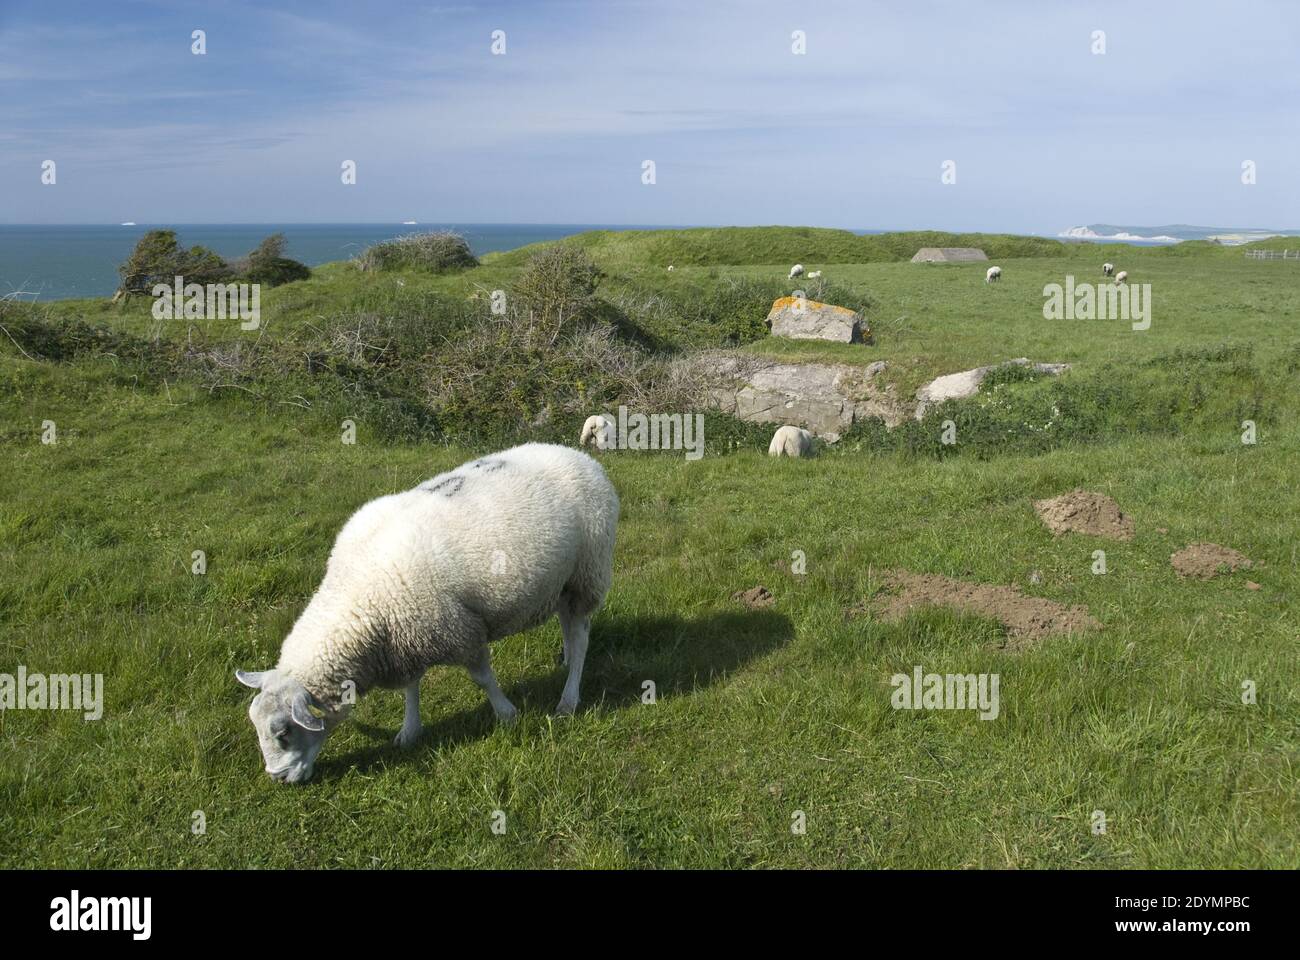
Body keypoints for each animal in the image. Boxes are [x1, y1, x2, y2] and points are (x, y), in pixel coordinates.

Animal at [235, 443, 619, 783]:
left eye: (283, 732)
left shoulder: (460, 629)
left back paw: (568, 698)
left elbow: (482, 678)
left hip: (586, 574)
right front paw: (409, 731)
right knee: (567, 626)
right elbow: (411, 689)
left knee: (580, 636)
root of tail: (580, 456)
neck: (357, 594)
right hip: (562, 584)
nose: (278, 779)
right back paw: (566, 661)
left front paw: (506, 713)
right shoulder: (405, 639)